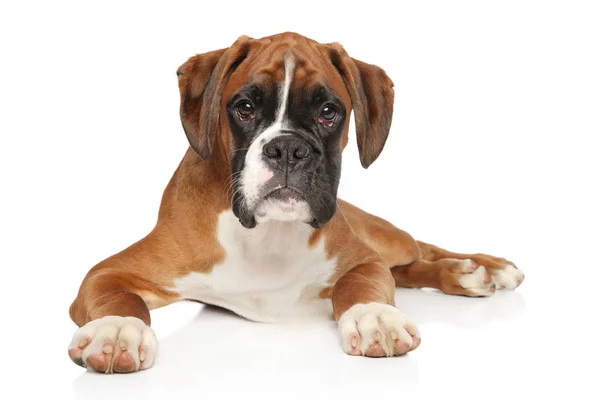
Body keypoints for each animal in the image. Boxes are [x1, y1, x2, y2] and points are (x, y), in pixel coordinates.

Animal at [67, 31, 524, 372]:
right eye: (245, 107)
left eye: (328, 112)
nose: (288, 148)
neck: (265, 236)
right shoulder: (107, 272)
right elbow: (119, 298)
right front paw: (116, 330)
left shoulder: (363, 259)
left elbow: (363, 284)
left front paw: (374, 316)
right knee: (409, 268)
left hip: (383, 237)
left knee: (418, 250)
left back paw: (482, 268)